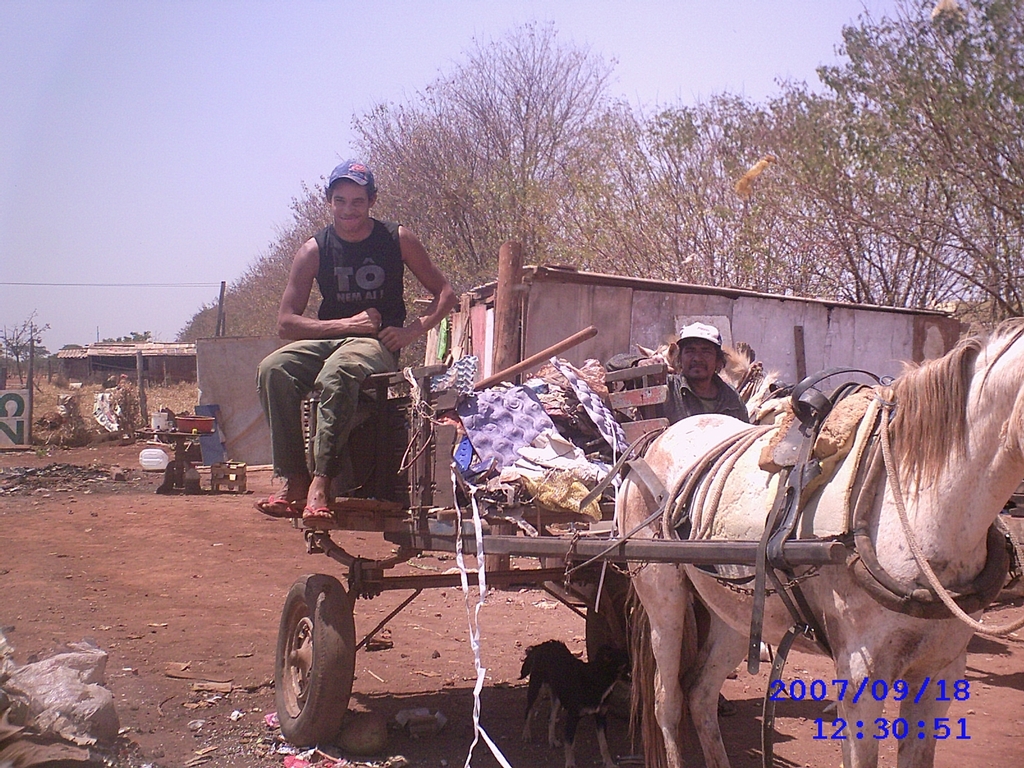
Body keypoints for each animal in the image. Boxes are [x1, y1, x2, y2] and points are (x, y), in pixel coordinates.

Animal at [619, 319, 1024, 768]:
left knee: (701, 693)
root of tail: (655, 440)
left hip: (732, 610)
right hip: (664, 598)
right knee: (667, 701)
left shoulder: (941, 672)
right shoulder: (862, 676)